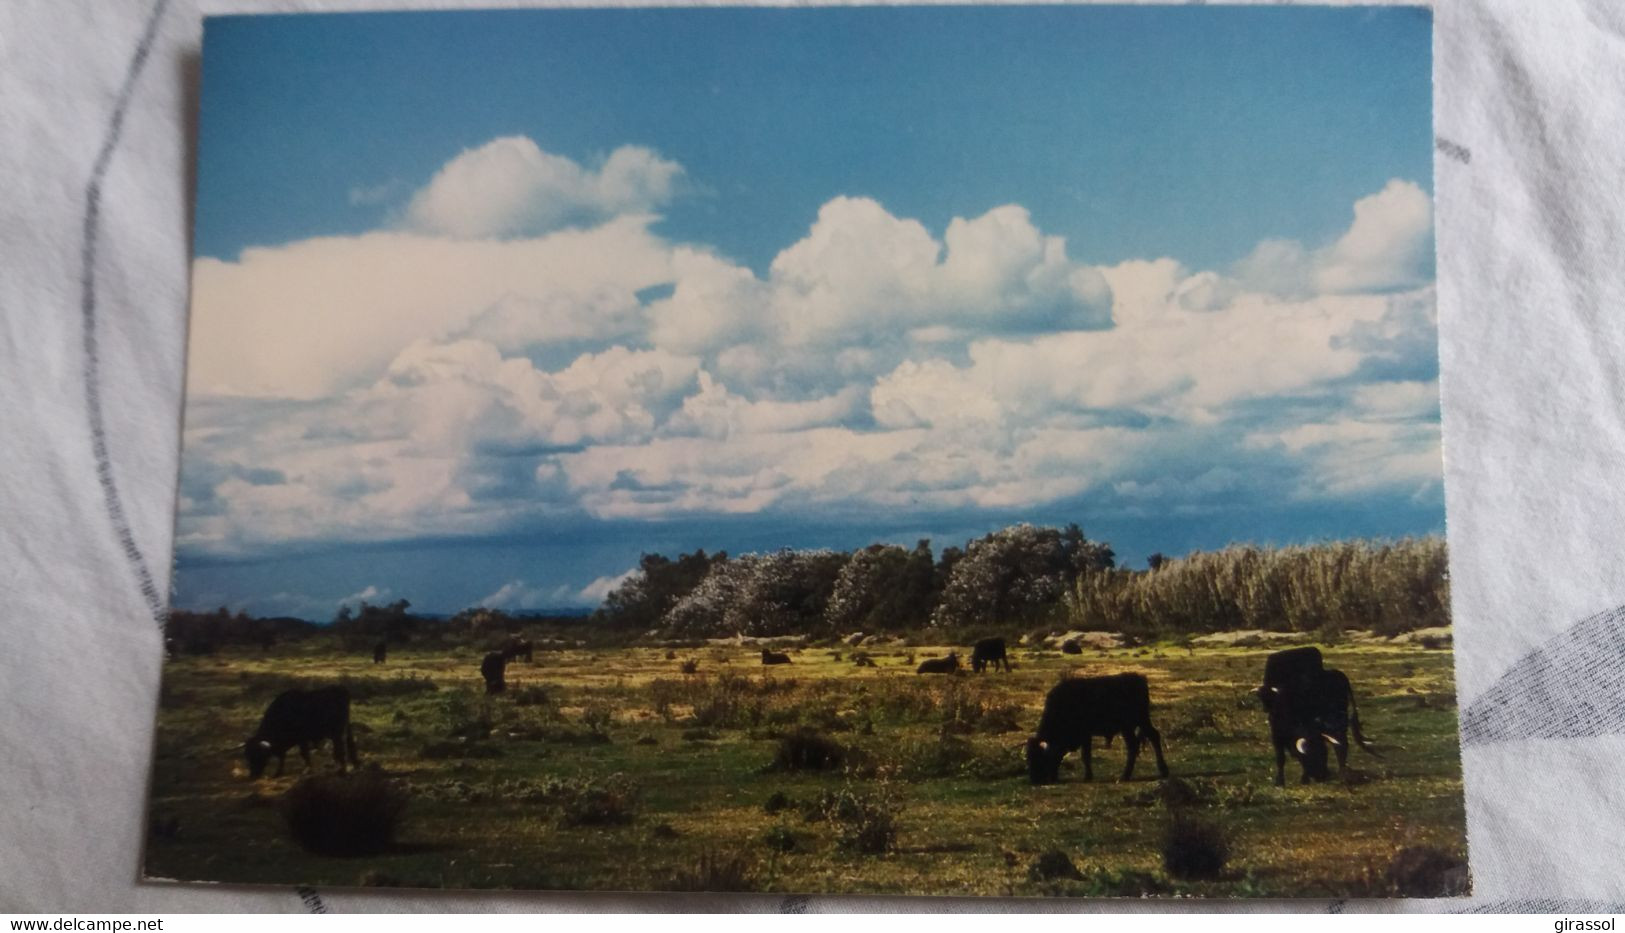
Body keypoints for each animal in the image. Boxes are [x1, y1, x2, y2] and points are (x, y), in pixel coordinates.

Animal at [1027, 676, 1170, 786]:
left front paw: (1087, 777)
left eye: (1040, 758)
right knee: (1149, 739)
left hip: (1132, 725)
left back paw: (1126, 775)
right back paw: (1159, 771)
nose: (1034, 780)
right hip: (1137, 724)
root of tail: (1139, 678)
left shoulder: (1085, 735)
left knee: (1139, 743)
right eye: (1029, 757)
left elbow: (1085, 756)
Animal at [1248, 646, 1378, 786]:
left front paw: (1303, 779)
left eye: (1323, 754)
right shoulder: (1276, 732)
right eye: (1312, 757)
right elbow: (1280, 758)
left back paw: (1344, 774)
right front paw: (1280, 781)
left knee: (1342, 746)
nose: (1322, 776)